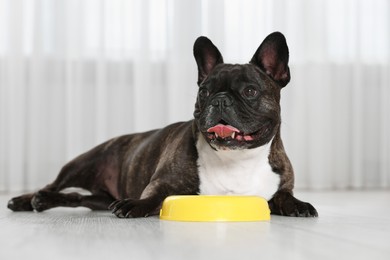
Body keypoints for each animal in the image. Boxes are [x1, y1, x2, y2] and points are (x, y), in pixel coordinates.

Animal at [7, 33, 316, 219]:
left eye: (250, 91)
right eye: (204, 91)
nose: (219, 100)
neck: (236, 159)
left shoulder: (279, 187)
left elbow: (285, 197)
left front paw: (300, 205)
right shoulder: (164, 182)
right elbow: (154, 195)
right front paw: (135, 205)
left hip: (99, 198)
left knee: (75, 197)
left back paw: (43, 201)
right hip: (82, 163)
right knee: (53, 185)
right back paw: (27, 200)